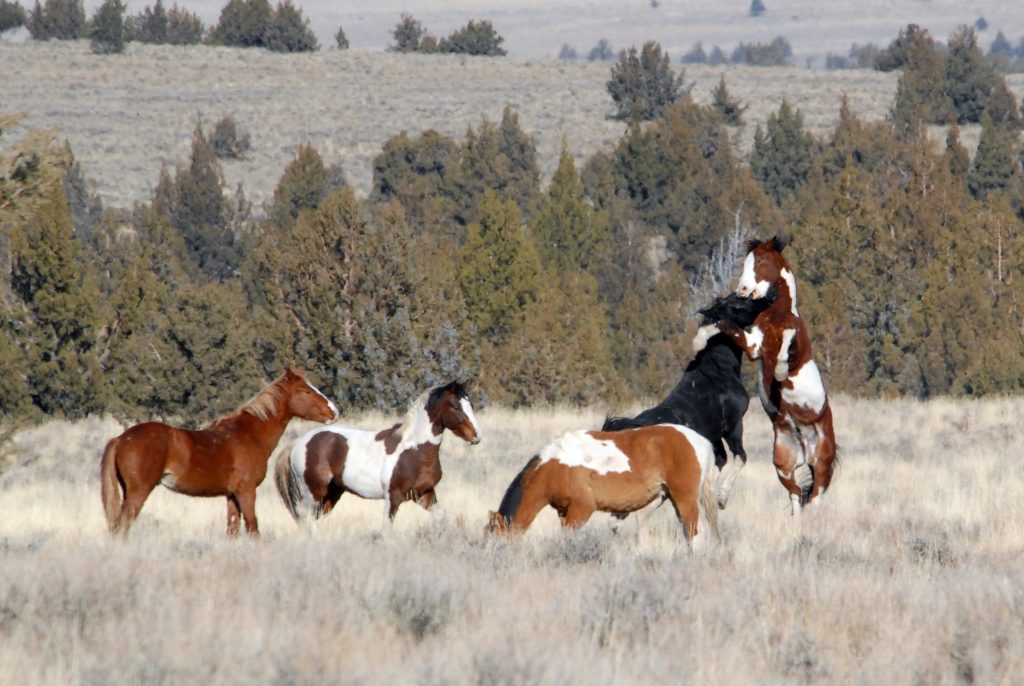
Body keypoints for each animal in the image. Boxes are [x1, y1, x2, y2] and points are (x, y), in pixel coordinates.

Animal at [97, 370, 335, 536]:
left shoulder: (231, 495)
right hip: (138, 493)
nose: (333, 411)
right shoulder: (246, 492)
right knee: (122, 526)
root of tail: (121, 439)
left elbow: (232, 529)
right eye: (306, 391)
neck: (249, 433)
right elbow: (253, 527)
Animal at [272, 380, 479, 528]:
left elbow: (442, 517)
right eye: (456, 406)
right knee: (305, 518)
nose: (476, 436)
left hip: (331, 494)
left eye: (470, 404)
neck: (414, 450)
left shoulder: (425, 494)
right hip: (313, 492)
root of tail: (298, 442)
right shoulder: (393, 497)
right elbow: (386, 531)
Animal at [598, 290, 774, 509]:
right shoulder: (732, 425)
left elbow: (719, 461)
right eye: (738, 304)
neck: (717, 371)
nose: (770, 297)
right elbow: (740, 456)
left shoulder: (713, 436)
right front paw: (721, 499)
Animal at [716, 237, 835, 516]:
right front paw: (720, 319)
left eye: (760, 262)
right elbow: (737, 333)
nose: (742, 290)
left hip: (822, 462)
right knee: (796, 496)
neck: (776, 317)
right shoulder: (754, 346)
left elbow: (787, 344)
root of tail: (805, 449)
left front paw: (780, 370)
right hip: (783, 464)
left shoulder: (796, 345)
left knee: (816, 496)